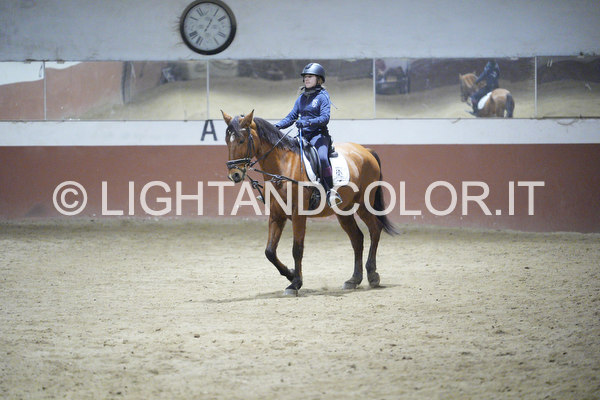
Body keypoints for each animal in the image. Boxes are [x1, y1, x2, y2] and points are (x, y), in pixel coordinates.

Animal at [222, 110, 398, 296]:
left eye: (241, 140)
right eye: (227, 140)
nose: (234, 175)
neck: (283, 166)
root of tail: (366, 150)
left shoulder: (298, 214)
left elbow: (297, 249)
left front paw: (295, 284)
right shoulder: (277, 215)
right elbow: (269, 251)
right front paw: (290, 274)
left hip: (364, 204)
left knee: (375, 229)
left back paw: (372, 275)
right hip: (343, 211)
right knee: (357, 238)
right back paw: (354, 280)